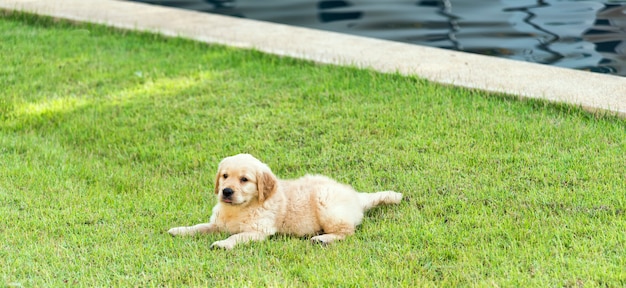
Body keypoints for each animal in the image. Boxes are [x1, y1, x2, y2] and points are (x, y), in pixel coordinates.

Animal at [167, 153, 400, 250]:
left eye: (244, 179)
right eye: (224, 176)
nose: (226, 191)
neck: (242, 208)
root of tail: (357, 196)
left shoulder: (259, 231)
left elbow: (237, 236)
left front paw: (223, 244)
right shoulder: (217, 224)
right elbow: (199, 226)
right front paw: (180, 230)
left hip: (326, 203)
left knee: (347, 231)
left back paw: (323, 239)